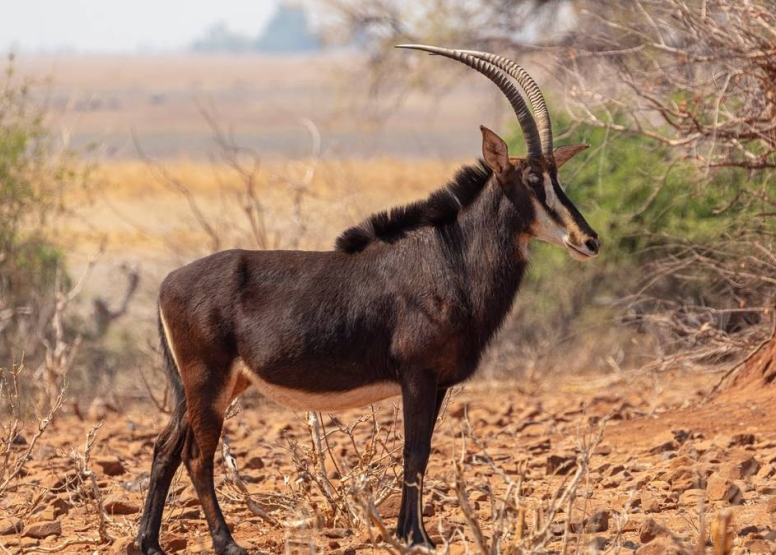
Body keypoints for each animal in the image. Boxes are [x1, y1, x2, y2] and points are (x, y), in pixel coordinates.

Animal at [138, 44, 600, 555]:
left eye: (557, 176)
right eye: (532, 178)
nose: (589, 240)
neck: (449, 257)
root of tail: (168, 283)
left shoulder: (438, 383)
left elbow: (421, 452)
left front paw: (410, 532)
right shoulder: (417, 375)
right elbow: (414, 452)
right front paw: (414, 537)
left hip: (205, 387)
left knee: (165, 448)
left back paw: (149, 542)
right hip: (208, 382)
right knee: (197, 456)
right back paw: (226, 542)